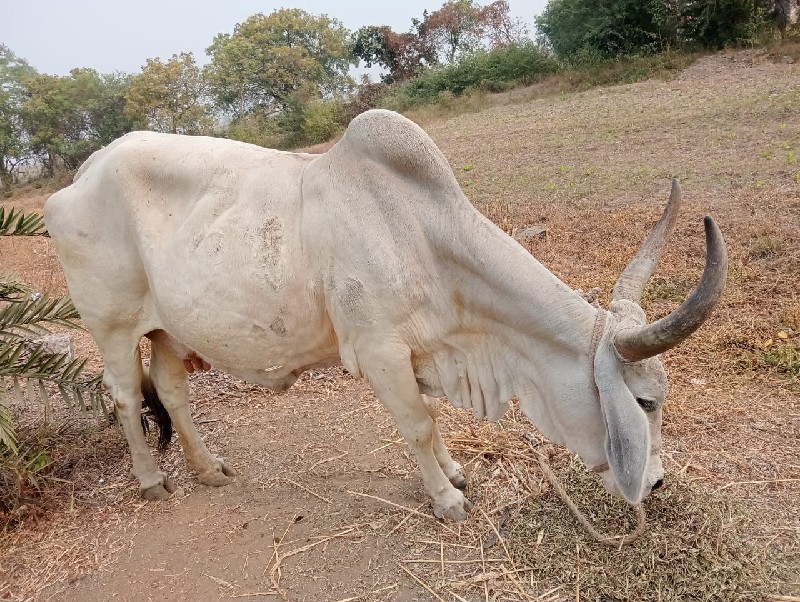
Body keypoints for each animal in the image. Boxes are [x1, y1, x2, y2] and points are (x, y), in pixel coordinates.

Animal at [45, 109, 732, 520]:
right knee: (126, 395)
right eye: (645, 402)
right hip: (111, 326)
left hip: (168, 327)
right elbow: (419, 426)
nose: (657, 484)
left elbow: (431, 421)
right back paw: (150, 479)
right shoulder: (379, 352)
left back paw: (207, 469)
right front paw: (447, 498)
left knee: (171, 390)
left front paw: (454, 473)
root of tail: (83, 172)